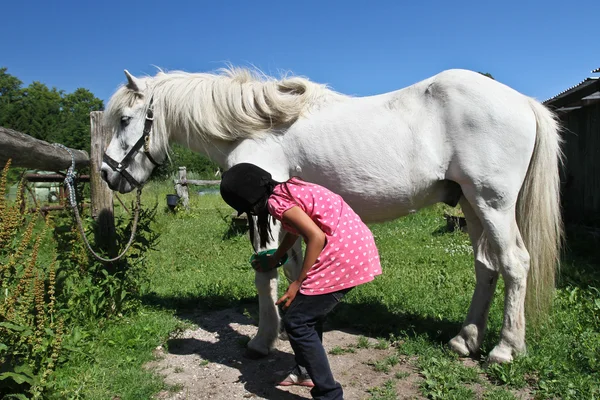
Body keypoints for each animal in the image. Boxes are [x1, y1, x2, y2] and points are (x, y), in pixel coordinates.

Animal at [99, 67, 564, 364]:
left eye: (125, 119)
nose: (106, 173)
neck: (251, 126)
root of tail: (522, 101)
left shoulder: (264, 209)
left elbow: (265, 273)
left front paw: (263, 340)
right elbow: (291, 267)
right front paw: (290, 321)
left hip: (492, 203)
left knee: (515, 263)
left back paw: (505, 349)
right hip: (470, 204)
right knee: (486, 266)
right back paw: (465, 341)